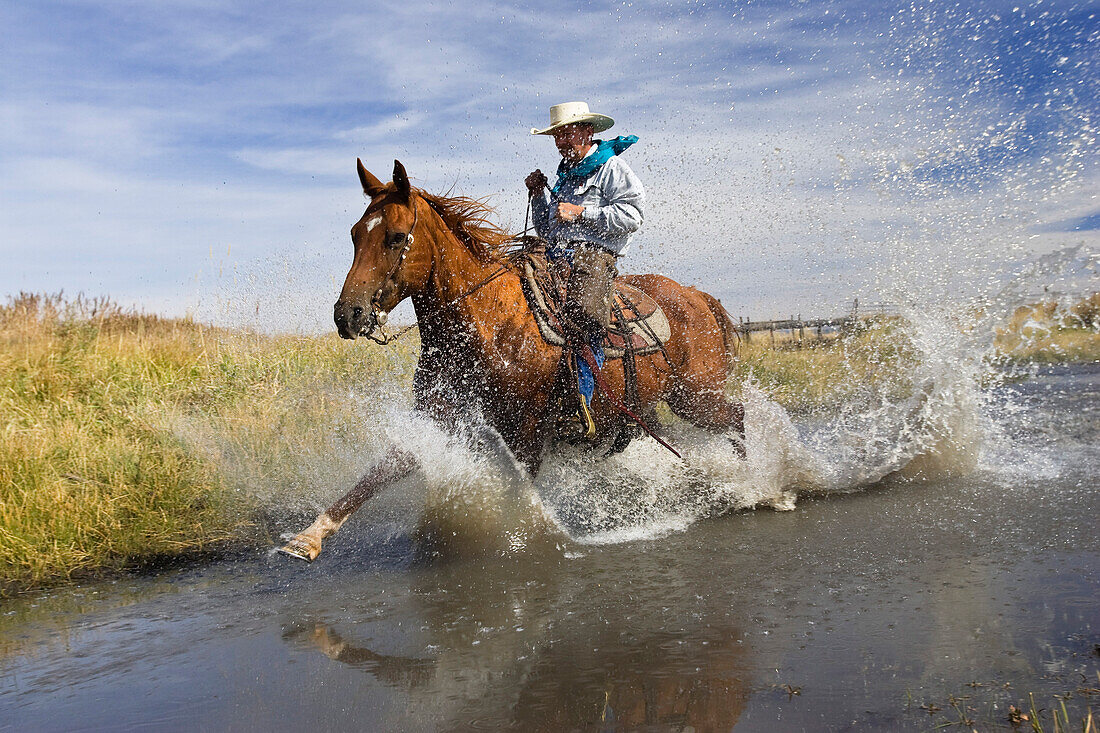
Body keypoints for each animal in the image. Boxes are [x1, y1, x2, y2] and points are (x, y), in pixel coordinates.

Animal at [279, 158, 743, 559]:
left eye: (395, 237)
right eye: (355, 234)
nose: (348, 314)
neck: (487, 323)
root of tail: (696, 295)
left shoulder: (527, 431)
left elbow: (518, 494)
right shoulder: (438, 416)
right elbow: (380, 472)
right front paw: (307, 538)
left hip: (698, 398)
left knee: (736, 420)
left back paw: (752, 484)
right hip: (647, 407)